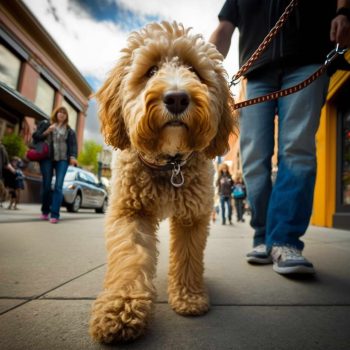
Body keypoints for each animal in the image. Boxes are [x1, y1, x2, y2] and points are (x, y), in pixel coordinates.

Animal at [89, 20, 235, 344]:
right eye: (151, 70)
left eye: (194, 70)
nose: (177, 98)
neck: (169, 164)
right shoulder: (130, 212)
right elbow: (130, 258)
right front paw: (120, 309)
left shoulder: (193, 217)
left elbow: (188, 257)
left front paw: (189, 297)